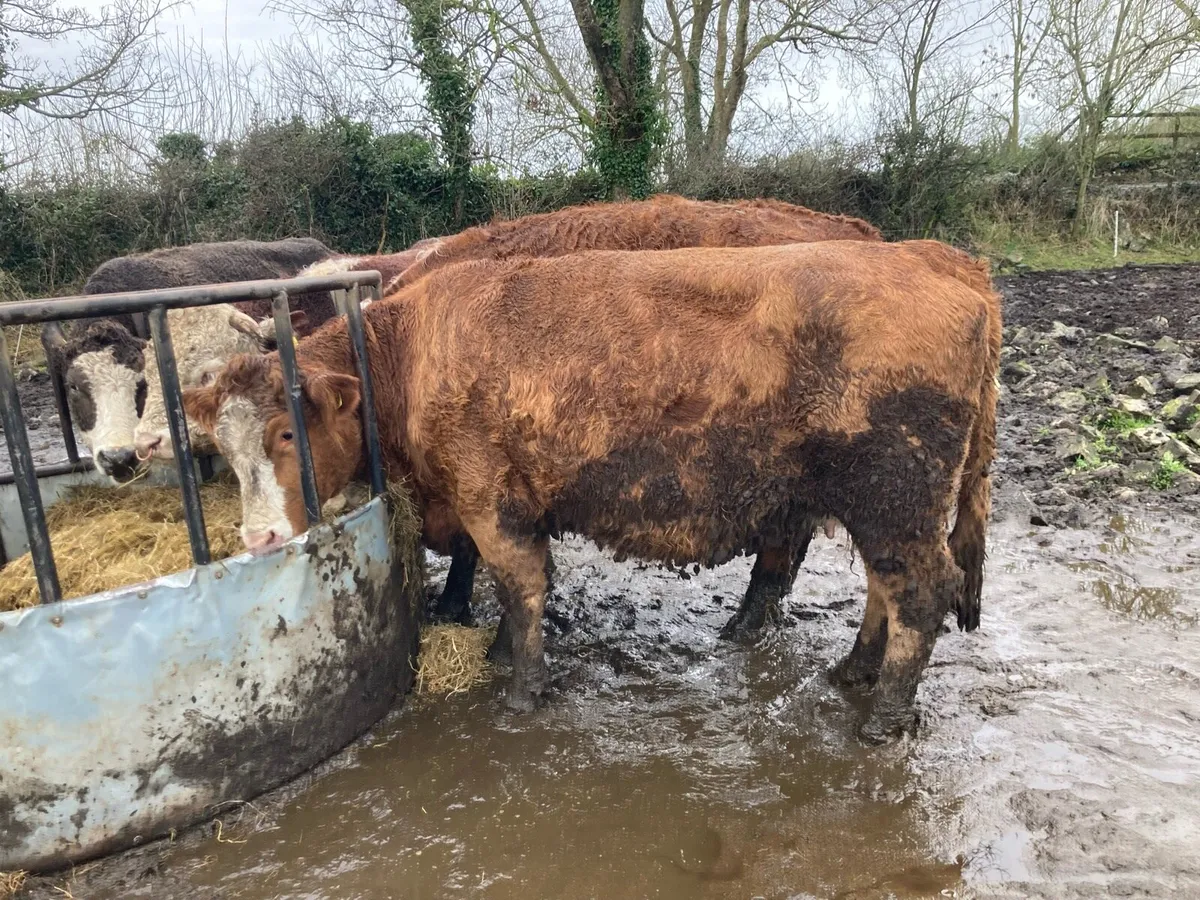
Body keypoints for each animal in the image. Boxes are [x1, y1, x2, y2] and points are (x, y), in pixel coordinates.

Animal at [182, 239, 1001, 744]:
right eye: (220, 444)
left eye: (286, 434)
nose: (257, 539)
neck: (411, 352)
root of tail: (934, 257)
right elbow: (519, 586)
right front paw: (504, 655)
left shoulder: (488, 496)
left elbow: (518, 585)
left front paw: (522, 688)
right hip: (882, 504)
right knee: (886, 588)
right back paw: (854, 670)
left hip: (896, 491)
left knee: (922, 591)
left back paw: (884, 714)